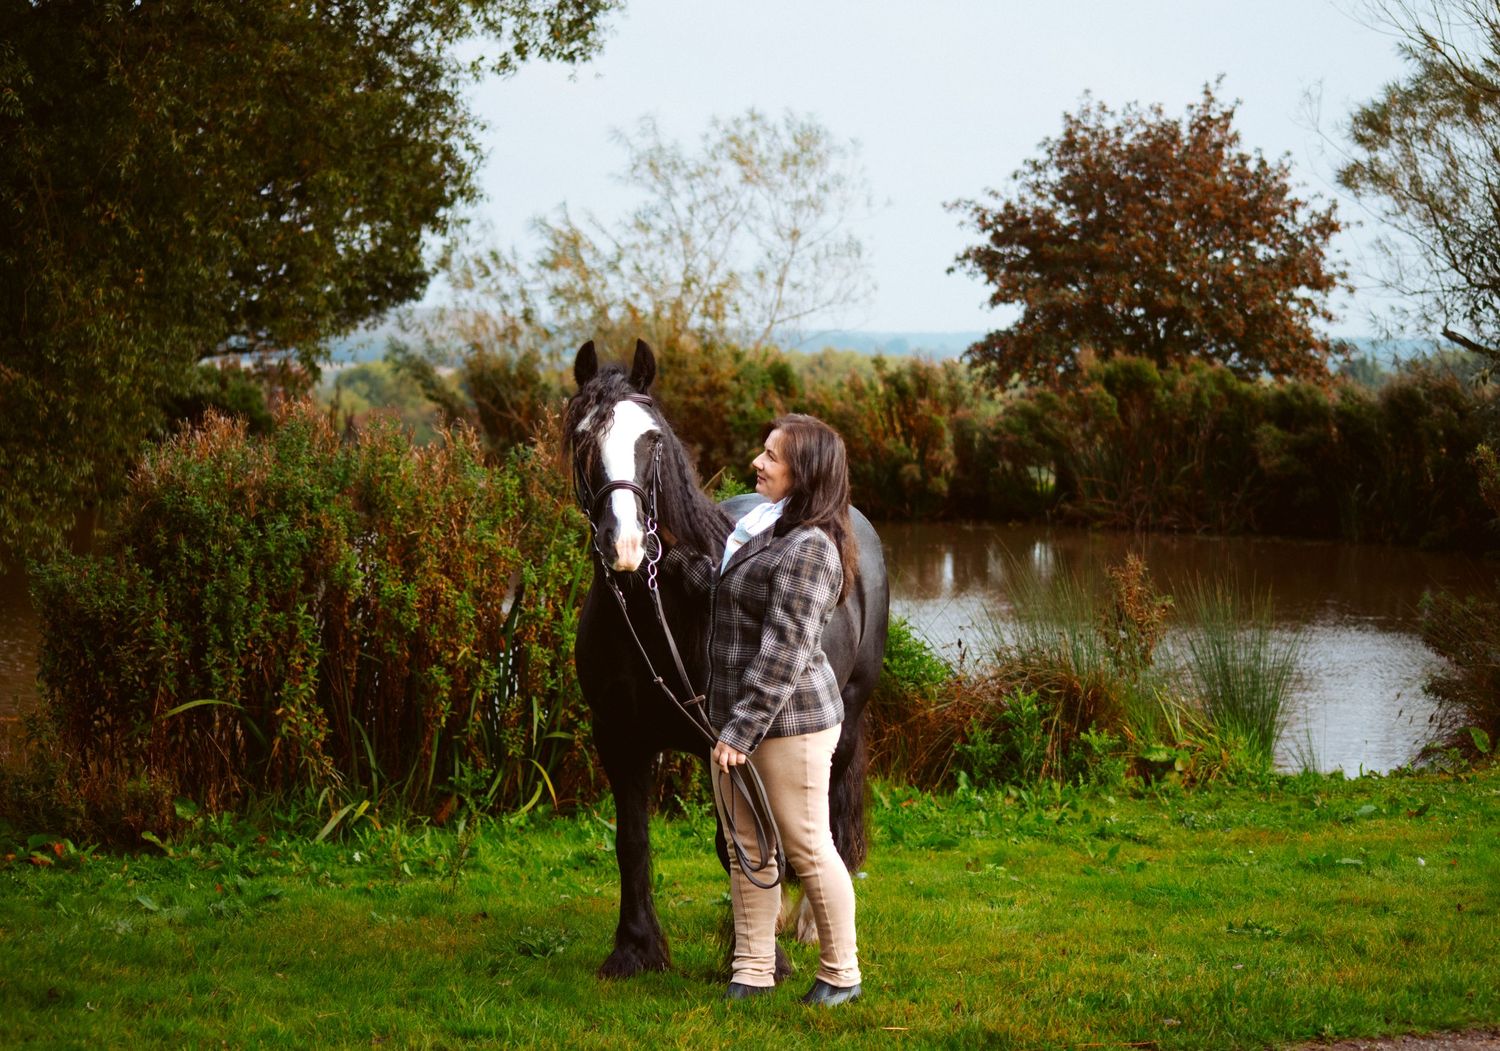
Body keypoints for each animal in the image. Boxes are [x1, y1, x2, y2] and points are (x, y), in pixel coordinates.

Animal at [566, 338, 890, 979]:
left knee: (825, 814)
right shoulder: (618, 738)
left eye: (653, 439)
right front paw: (635, 949)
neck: (658, 613)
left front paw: (761, 959)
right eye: (583, 438)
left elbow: (737, 846)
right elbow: (631, 841)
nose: (625, 545)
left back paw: (810, 926)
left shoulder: (727, 743)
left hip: (845, 721)